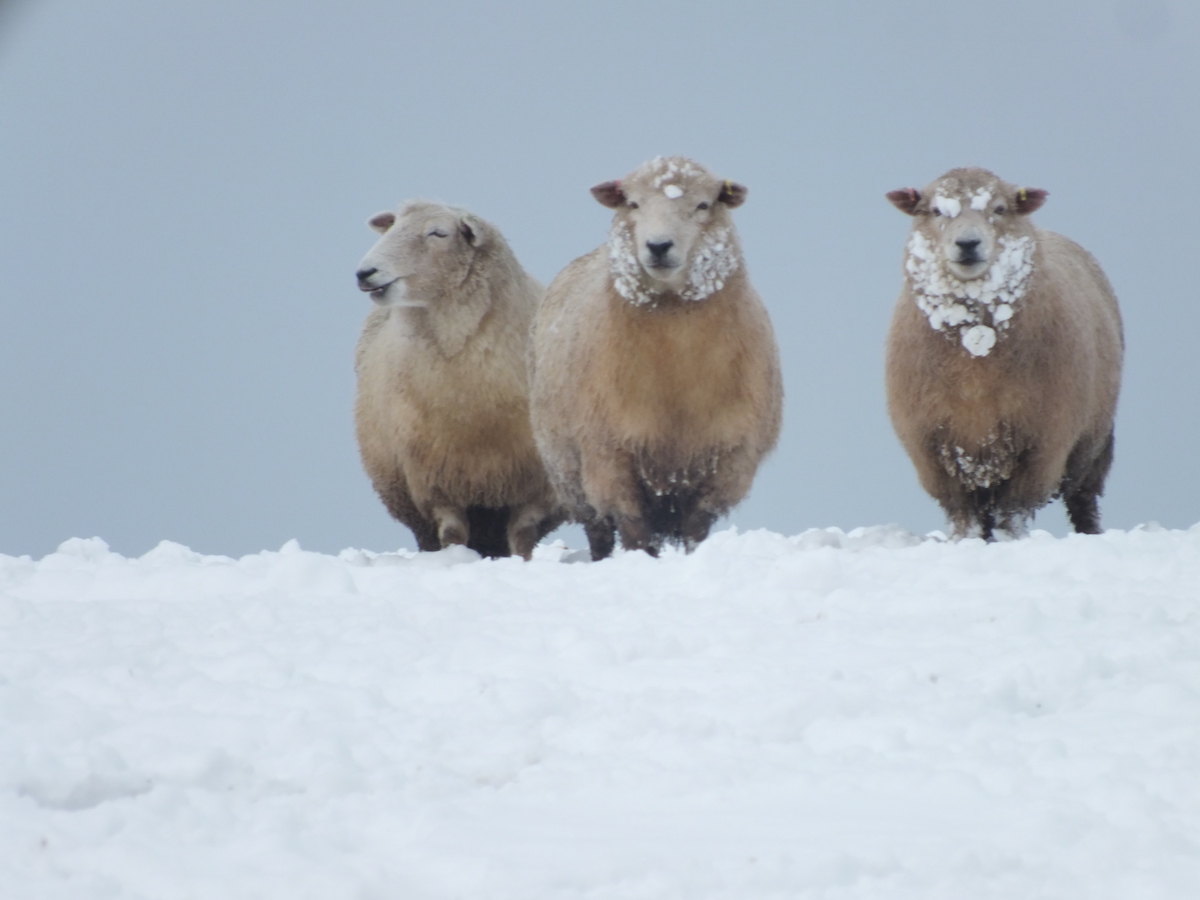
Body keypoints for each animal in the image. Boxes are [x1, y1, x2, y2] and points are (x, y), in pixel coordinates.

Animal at [352, 200, 564, 561]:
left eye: (438, 233)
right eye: (391, 227)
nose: (365, 273)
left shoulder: (537, 485)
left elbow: (523, 534)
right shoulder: (434, 479)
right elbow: (452, 532)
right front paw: (455, 561)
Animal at [530, 158, 782, 561]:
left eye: (703, 204)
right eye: (633, 203)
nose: (659, 246)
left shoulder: (729, 457)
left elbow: (697, 527)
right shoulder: (609, 451)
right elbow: (633, 526)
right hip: (568, 469)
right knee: (598, 529)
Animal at [883, 165, 1123, 540]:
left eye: (999, 209)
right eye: (936, 210)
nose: (968, 243)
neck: (975, 359)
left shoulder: (1043, 443)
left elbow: (1015, 511)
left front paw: (1013, 541)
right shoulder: (933, 447)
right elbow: (962, 513)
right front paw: (962, 542)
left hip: (1094, 443)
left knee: (1082, 500)